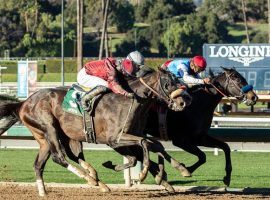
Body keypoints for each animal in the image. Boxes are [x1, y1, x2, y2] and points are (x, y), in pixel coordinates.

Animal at [0, 69, 192, 195]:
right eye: (168, 83)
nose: (183, 102)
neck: (130, 99)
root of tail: (23, 103)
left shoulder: (133, 134)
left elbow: (153, 145)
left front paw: (177, 171)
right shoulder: (114, 139)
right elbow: (144, 146)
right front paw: (144, 173)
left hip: (47, 138)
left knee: (40, 164)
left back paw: (47, 192)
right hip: (49, 128)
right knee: (58, 156)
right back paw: (92, 180)